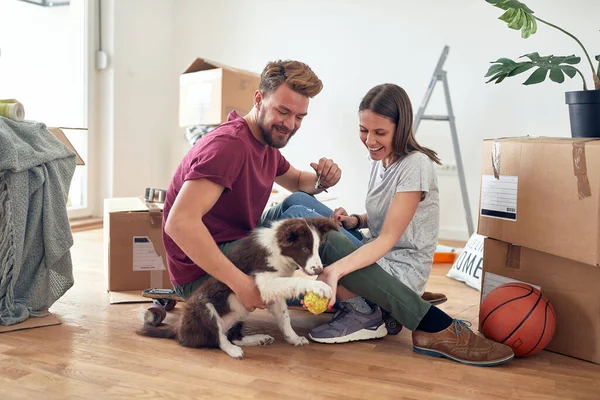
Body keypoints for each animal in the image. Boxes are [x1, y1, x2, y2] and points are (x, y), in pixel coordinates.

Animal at [138, 219, 340, 360]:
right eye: (305, 248)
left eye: (317, 248)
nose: (320, 270)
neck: (277, 250)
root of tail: (178, 330)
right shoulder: (265, 281)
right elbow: (295, 282)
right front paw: (320, 286)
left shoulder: (272, 294)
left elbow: (284, 317)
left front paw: (294, 338)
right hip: (203, 307)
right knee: (219, 339)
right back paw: (234, 351)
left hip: (239, 313)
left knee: (232, 336)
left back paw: (258, 339)